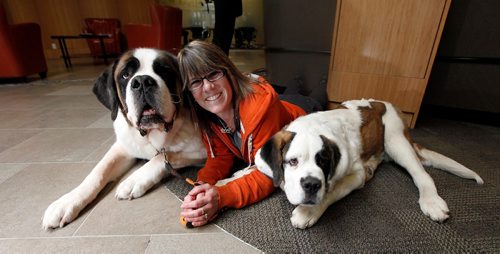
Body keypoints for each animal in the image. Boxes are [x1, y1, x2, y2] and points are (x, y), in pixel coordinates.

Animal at [42, 47, 206, 230]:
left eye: (164, 71)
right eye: (125, 75)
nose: (142, 81)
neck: (152, 135)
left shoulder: (199, 151)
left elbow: (163, 156)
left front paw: (133, 181)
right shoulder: (123, 147)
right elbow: (99, 170)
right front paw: (67, 201)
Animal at [256, 98, 482, 228]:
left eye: (323, 162)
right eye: (292, 161)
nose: (312, 184)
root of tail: (384, 103)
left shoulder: (356, 175)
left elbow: (332, 191)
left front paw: (308, 212)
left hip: (395, 139)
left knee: (421, 174)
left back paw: (432, 202)